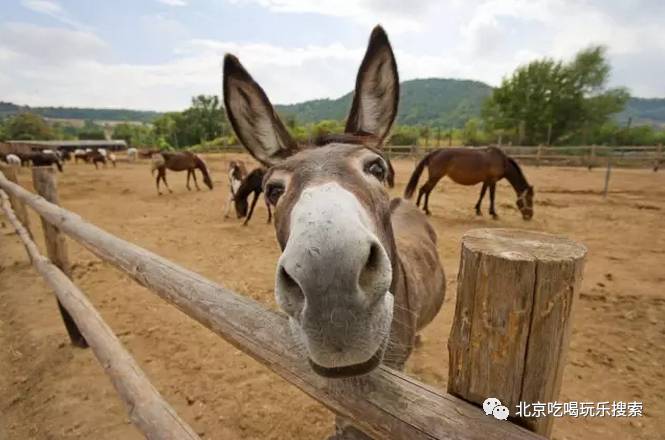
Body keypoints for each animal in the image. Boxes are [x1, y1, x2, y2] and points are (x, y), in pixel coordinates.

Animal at [404, 146, 536, 220]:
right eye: (529, 199)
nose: (529, 216)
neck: (501, 161)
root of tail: (435, 152)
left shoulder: (486, 181)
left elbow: (482, 194)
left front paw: (478, 210)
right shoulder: (492, 181)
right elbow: (492, 197)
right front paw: (494, 214)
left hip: (435, 178)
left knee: (427, 191)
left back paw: (426, 210)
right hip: (435, 177)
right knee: (423, 190)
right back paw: (420, 208)